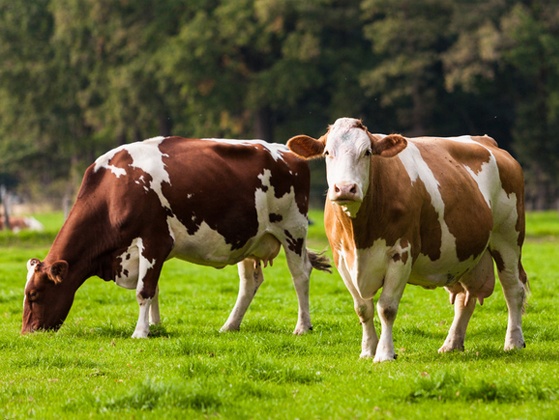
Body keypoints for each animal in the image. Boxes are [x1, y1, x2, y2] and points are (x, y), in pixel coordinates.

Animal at [21, 136, 330, 340]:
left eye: (34, 294)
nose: (26, 333)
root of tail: (288, 151)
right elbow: (154, 288)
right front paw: (155, 326)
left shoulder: (154, 241)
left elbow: (144, 290)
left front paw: (140, 332)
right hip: (249, 238)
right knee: (250, 283)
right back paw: (230, 325)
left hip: (293, 230)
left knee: (301, 274)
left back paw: (302, 326)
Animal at [288, 117, 528, 360]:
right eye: (328, 152)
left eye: (367, 152)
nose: (345, 188)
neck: (360, 237)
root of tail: (487, 141)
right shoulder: (342, 259)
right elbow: (363, 309)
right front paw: (367, 351)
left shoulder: (401, 253)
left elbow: (386, 308)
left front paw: (384, 354)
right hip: (465, 254)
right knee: (465, 298)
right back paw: (451, 343)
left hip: (508, 238)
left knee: (513, 289)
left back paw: (514, 341)